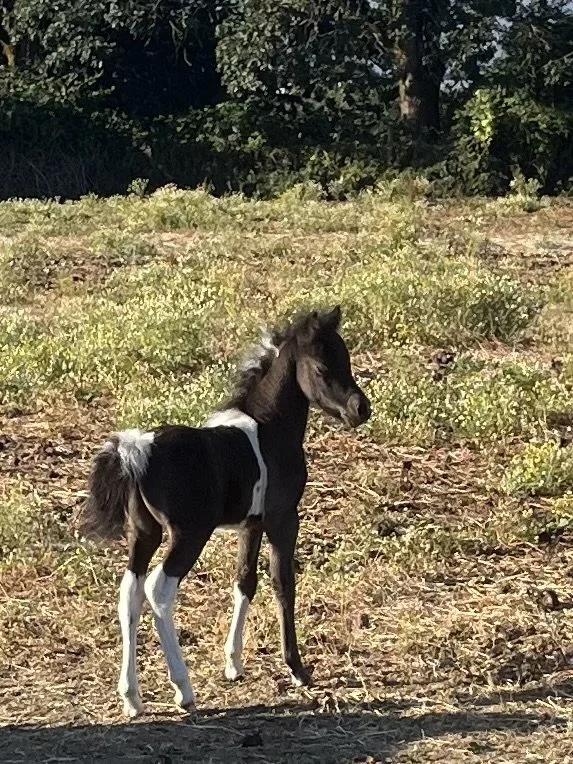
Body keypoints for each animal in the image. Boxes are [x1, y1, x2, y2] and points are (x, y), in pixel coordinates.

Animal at [78, 306, 371, 718]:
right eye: (321, 368)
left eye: (345, 358)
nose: (361, 409)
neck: (269, 428)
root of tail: (139, 449)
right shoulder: (283, 518)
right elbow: (283, 583)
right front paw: (297, 668)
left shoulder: (251, 524)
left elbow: (244, 581)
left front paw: (233, 664)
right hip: (188, 535)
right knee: (158, 589)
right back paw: (183, 690)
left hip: (144, 533)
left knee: (130, 593)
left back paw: (131, 698)